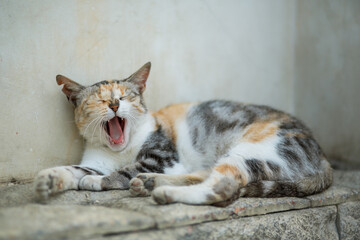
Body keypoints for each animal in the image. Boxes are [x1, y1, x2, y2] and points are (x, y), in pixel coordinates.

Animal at [33, 62, 332, 205]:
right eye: (99, 99)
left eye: (126, 96)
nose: (115, 104)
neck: (122, 149)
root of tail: (321, 155)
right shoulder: (97, 162)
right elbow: (76, 169)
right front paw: (49, 179)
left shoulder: (163, 157)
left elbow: (123, 171)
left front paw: (99, 181)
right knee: (205, 176)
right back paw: (150, 184)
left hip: (252, 150)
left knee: (223, 187)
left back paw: (163, 192)